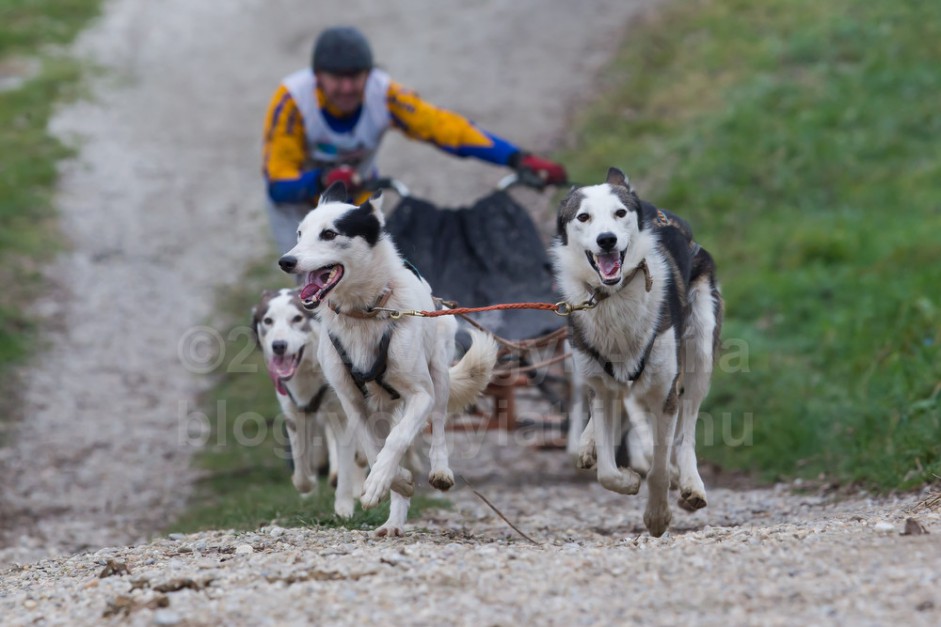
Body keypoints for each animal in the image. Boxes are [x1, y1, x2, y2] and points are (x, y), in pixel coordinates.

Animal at [251, 288, 365, 518]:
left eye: (297, 318)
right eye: (268, 321)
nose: (279, 346)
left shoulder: (343, 414)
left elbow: (348, 462)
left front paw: (344, 505)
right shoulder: (295, 411)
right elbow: (301, 463)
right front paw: (307, 484)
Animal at [277, 182, 498, 536]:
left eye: (329, 233)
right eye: (300, 233)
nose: (286, 261)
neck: (363, 312)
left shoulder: (420, 395)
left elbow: (395, 442)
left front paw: (382, 480)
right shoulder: (351, 402)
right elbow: (372, 448)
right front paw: (393, 482)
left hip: (438, 373)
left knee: (436, 424)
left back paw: (439, 470)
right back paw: (394, 520)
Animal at [551, 167, 723, 537]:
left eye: (620, 213)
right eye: (583, 217)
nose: (607, 240)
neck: (612, 298)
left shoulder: (664, 391)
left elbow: (659, 465)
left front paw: (657, 516)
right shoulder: (600, 385)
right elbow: (606, 470)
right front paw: (626, 480)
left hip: (700, 349)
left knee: (687, 427)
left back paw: (691, 482)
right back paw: (587, 443)